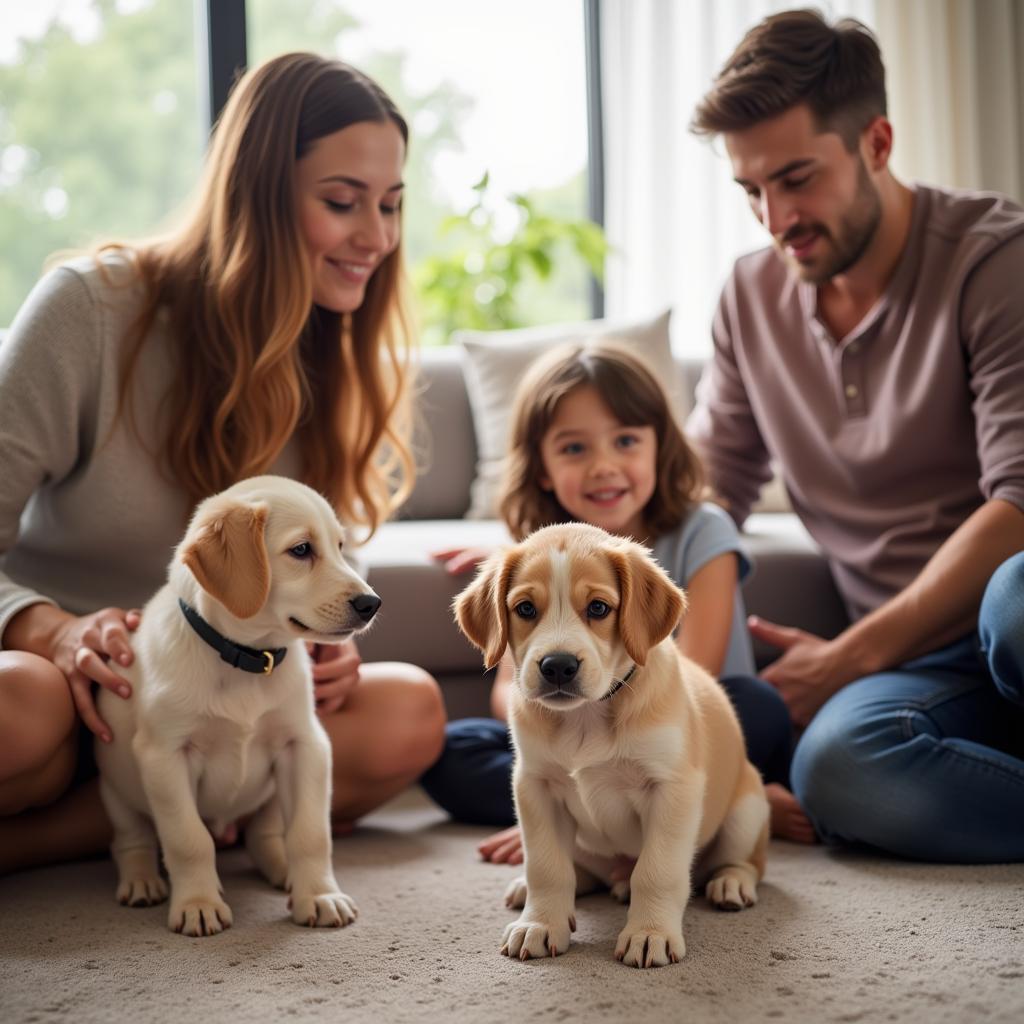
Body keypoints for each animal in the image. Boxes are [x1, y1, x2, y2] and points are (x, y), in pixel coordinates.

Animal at [94, 473, 376, 937]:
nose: (372, 604)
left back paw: (284, 872)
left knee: (265, 837)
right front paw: (198, 903)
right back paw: (141, 880)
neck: (247, 658)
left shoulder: (307, 746)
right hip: (117, 789)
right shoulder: (164, 756)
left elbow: (311, 833)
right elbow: (188, 839)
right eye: (302, 550)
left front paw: (319, 895)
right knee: (131, 840)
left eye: (340, 546)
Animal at [456, 528, 770, 966]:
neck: (585, 718)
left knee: (745, 861)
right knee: (580, 871)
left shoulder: (673, 789)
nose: (557, 666)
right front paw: (540, 924)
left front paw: (650, 933)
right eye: (525, 609)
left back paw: (730, 882)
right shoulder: (535, 787)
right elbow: (547, 867)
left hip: (747, 810)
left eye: (599, 608)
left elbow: (657, 871)